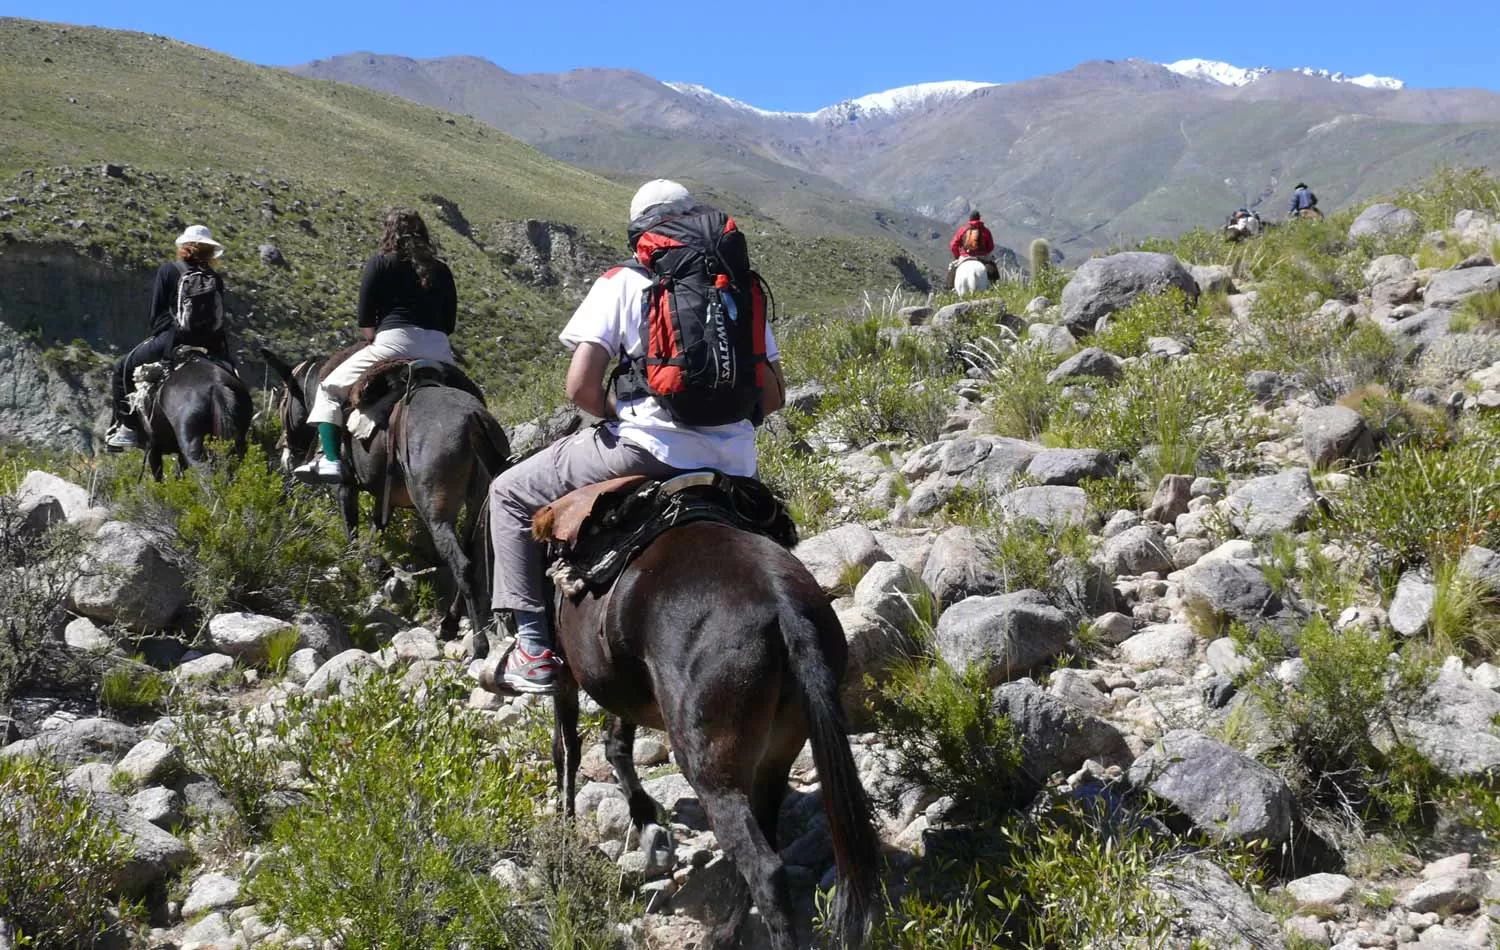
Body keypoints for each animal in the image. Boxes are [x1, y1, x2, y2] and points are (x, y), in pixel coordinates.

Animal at [264, 348, 510, 651]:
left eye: (282, 402)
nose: (285, 455)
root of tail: (473, 418)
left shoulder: (346, 487)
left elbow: (353, 534)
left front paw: (367, 569)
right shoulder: (385, 498)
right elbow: (373, 532)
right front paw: (378, 566)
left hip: (437, 514)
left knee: (462, 565)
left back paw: (477, 642)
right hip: (476, 508)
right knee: (473, 560)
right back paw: (450, 622)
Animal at [537, 519, 876, 948]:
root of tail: (784, 605)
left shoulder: (563, 669)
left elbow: (566, 748)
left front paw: (565, 836)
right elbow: (616, 743)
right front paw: (646, 822)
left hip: (708, 766)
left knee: (764, 868)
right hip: (775, 753)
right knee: (764, 837)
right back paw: (726, 930)